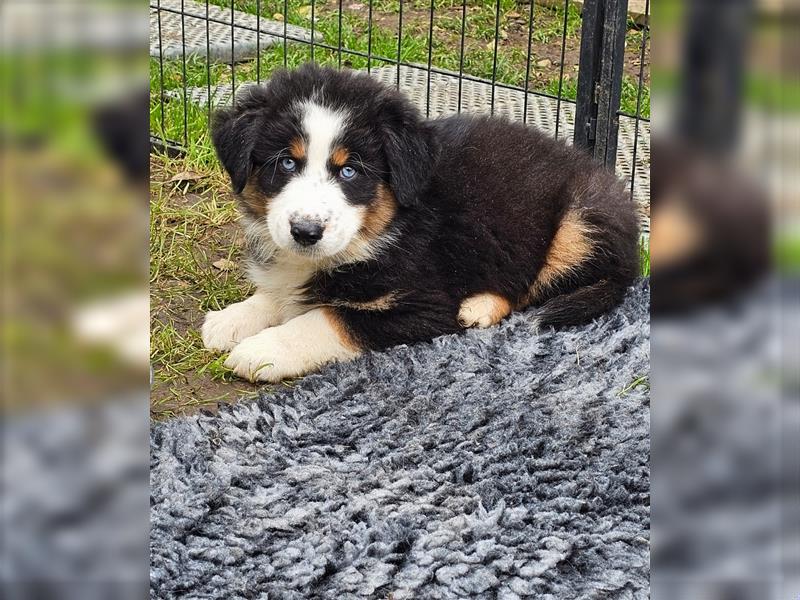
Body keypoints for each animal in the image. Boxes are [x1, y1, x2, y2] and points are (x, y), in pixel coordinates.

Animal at [203, 65, 640, 382]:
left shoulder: (422, 305)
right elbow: (279, 294)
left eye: (349, 172)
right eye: (287, 163)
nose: (305, 233)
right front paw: (232, 319)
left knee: (536, 284)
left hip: (577, 224)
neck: (380, 231)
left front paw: (263, 351)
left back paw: (479, 306)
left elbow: (326, 319)